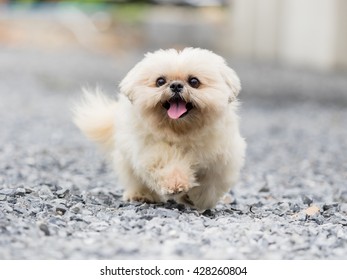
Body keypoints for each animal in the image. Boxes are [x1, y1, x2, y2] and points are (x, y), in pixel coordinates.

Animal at [73, 47, 247, 210]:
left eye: (194, 81)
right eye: (160, 81)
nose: (176, 85)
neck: (183, 132)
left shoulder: (222, 159)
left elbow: (210, 183)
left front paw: (196, 198)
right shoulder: (152, 150)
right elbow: (167, 162)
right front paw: (176, 184)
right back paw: (142, 195)